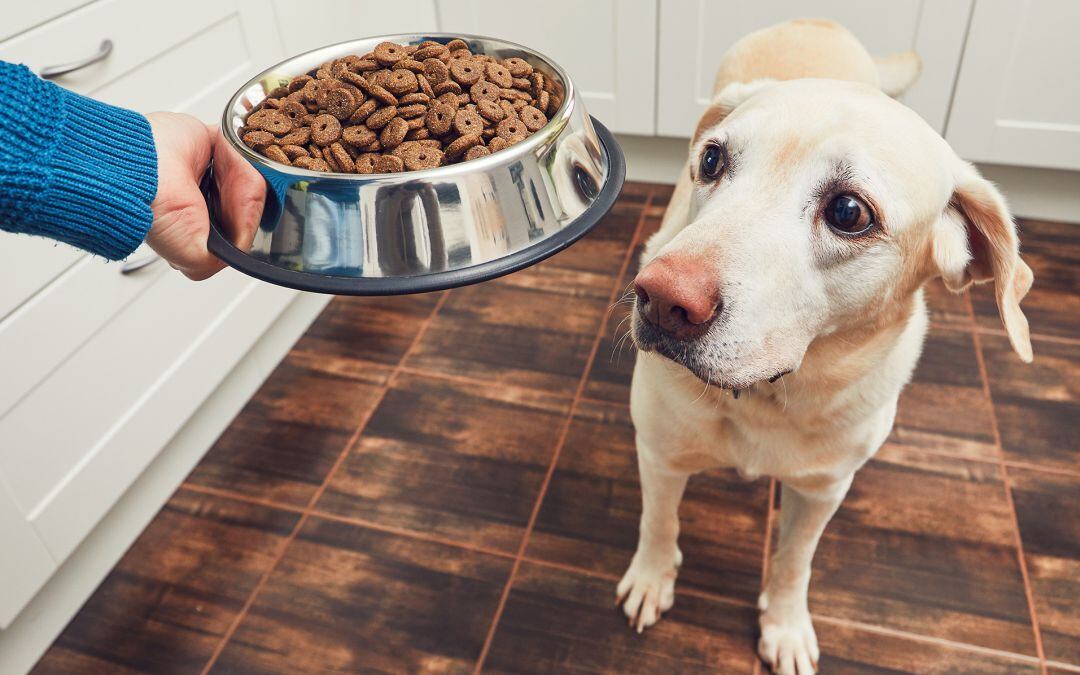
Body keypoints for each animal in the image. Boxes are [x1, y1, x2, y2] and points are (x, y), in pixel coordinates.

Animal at [617, 18, 1028, 669]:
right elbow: (659, 524)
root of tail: (815, 21)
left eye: (849, 212)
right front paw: (652, 578)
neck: (767, 397)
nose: (658, 298)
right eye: (711, 159)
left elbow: (794, 563)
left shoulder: (823, 491)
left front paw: (785, 627)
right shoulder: (659, 453)